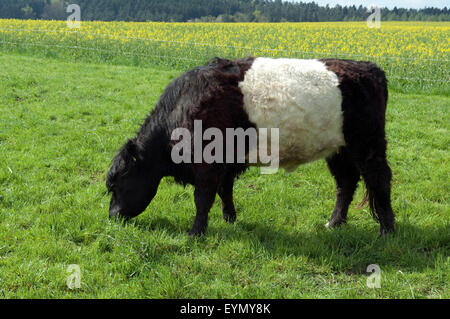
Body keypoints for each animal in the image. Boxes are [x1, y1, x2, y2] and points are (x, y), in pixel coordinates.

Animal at [107, 57, 396, 238]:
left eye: (117, 183)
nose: (112, 215)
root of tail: (370, 67)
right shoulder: (226, 161)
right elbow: (225, 191)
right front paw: (229, 218)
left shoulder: (206, 163)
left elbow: (203, 198)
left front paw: (195, 232)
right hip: (338, 150)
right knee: (345, 183)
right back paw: (334, 223)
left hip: (368, 145)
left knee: (379, 180)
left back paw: (386, 230)